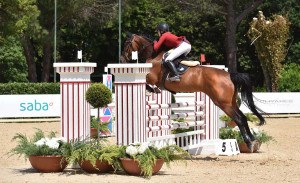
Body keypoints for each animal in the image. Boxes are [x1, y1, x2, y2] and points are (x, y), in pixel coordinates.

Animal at [120, 34, 264, 152]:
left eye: (126, 43)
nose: (122, 60)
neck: (154, 55)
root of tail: (229, 75)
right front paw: (154, 90)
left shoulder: (151, 77)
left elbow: (147, 83)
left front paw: (153, 90)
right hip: (231, 102)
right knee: (243, 118)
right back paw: (253, 140)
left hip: (223, 103)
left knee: (238, 119)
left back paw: (248, 142)